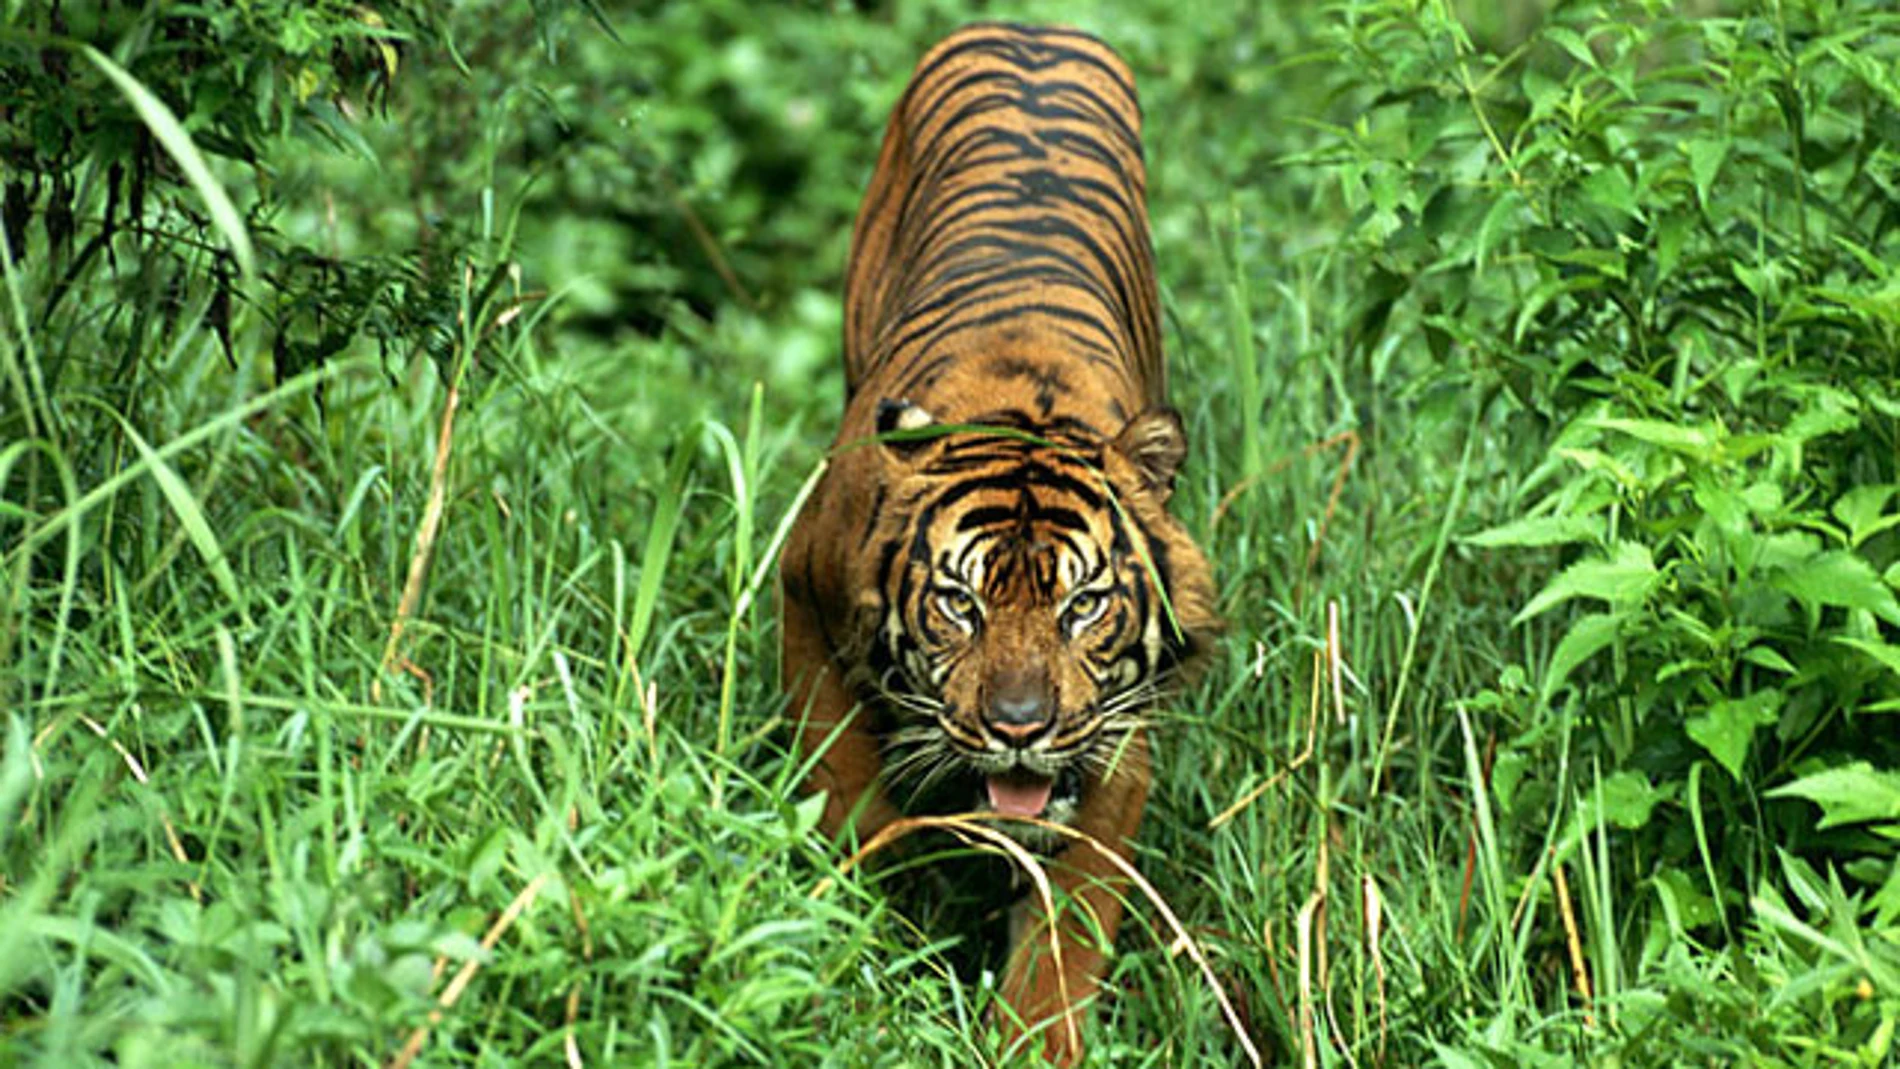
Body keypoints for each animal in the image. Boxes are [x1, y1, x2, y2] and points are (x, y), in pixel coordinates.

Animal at [778, 22, 1220, 1064]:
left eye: (1083, 606)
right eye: (959, 603)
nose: (1020, 727)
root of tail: (1030, 28)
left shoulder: (1115, 733)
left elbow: (1070, 926)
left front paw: (1031, 1037)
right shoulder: (804, 592)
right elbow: (849, 794)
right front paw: (871, 918)